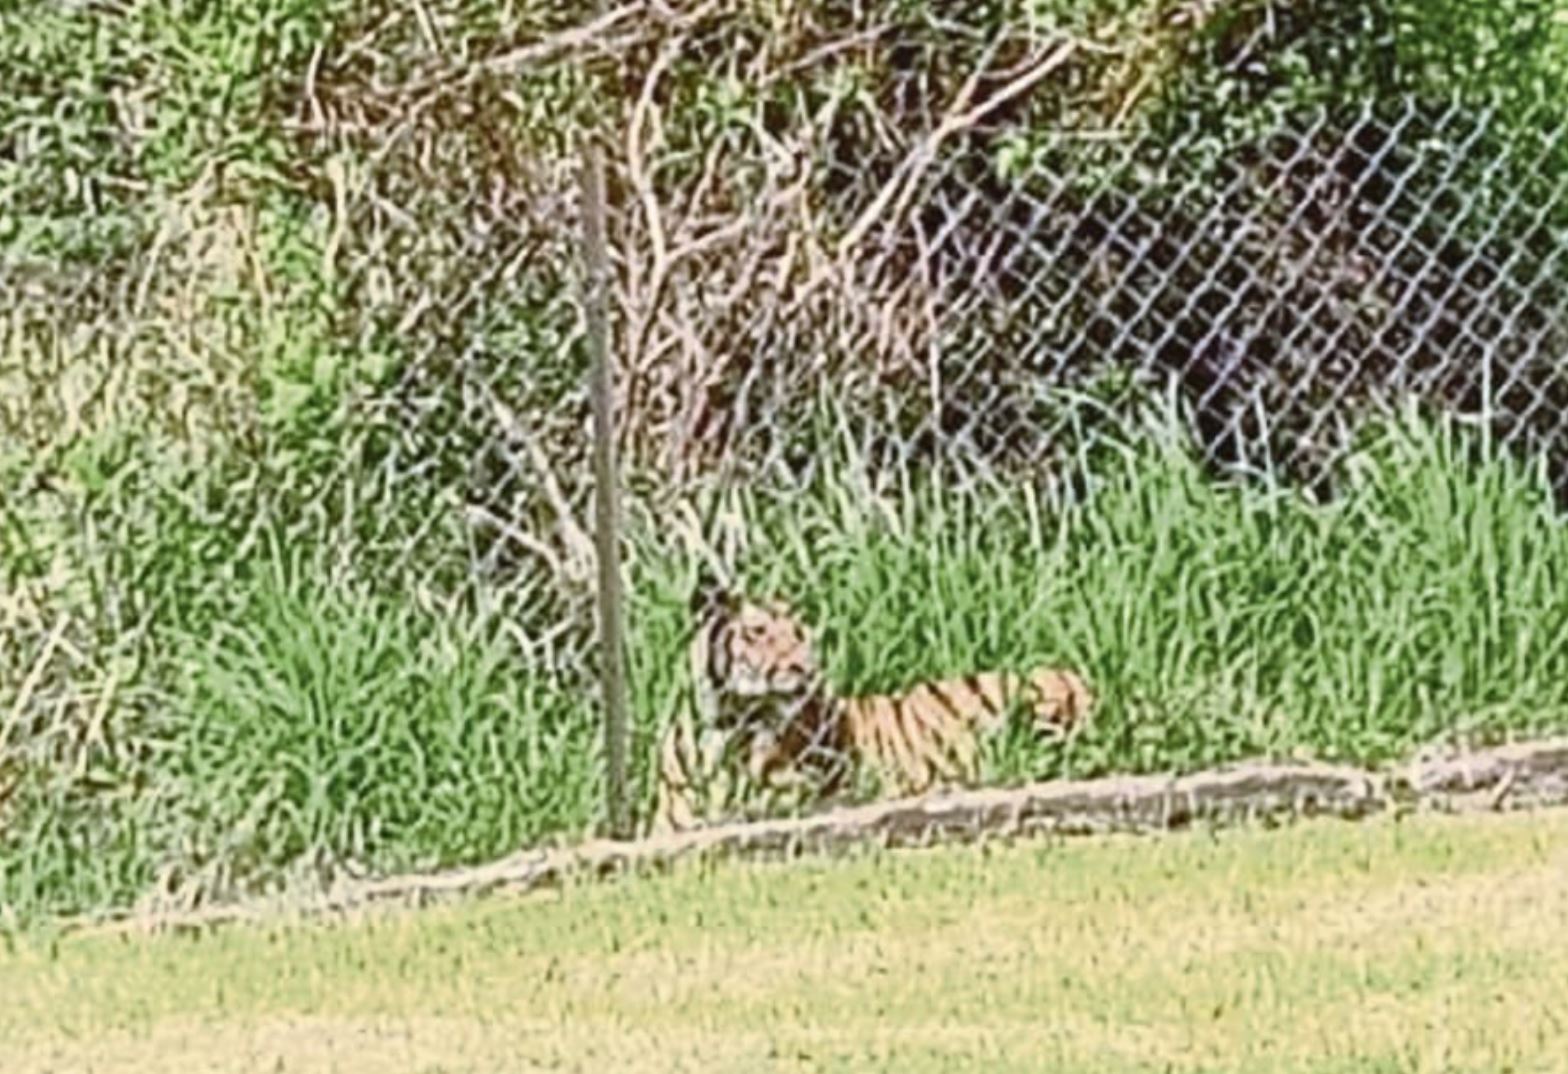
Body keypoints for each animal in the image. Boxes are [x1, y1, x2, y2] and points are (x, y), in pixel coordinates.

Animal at [652, 578, 1094, 832]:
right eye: (757, 632)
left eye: (799, 634)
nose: (805, 667)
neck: (725, 718)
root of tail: (1083, 682)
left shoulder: (802, 788)